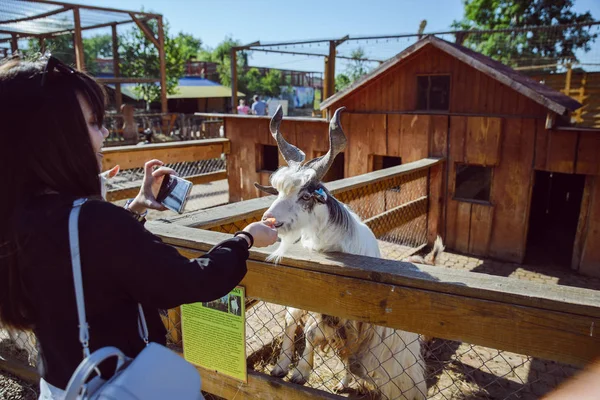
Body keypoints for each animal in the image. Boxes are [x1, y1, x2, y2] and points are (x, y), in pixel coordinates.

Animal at [253, 106, 440, 400]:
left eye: (306, 195)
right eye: (279, 190)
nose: (269, 220)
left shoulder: (338, 310)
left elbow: (311, 333)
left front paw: (299, 373)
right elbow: (292, 322)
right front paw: (282, 367)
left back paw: (343, 382)